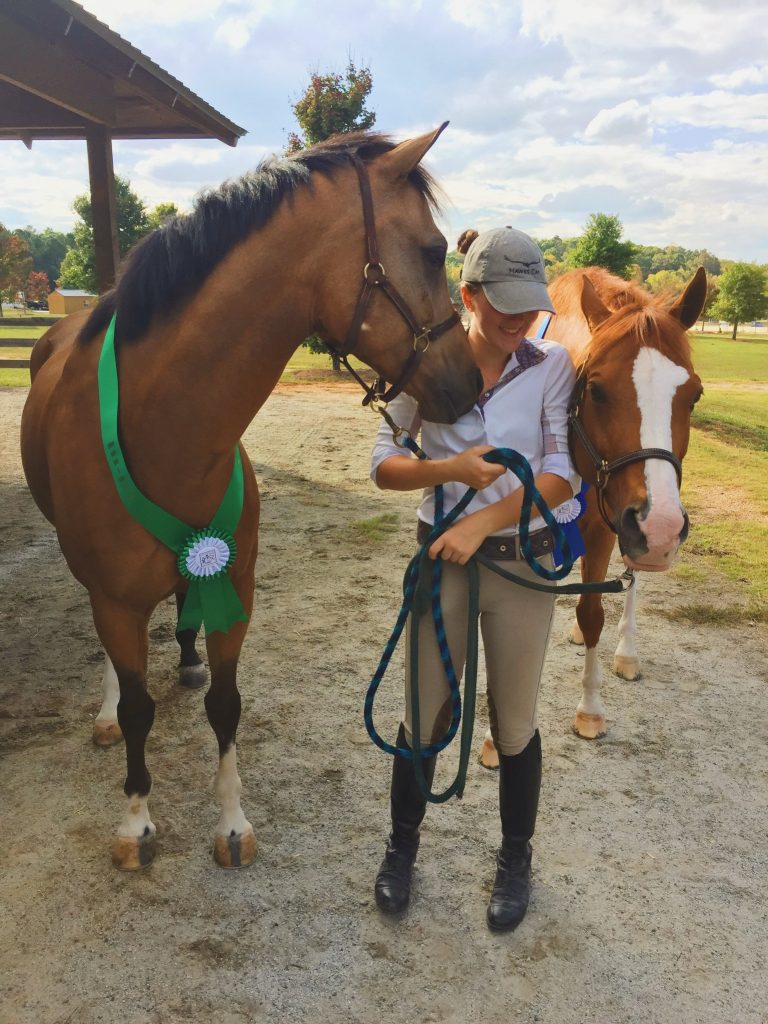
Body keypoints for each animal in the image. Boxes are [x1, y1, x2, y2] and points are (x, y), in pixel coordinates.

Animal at [19, 125, 481, 872]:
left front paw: (233, 822)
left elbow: (227, 705)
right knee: (120, 675)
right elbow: (139, 712)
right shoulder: (113, 600)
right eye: (433, 250)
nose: (471, 383)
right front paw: (135, 823)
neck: (164, 429)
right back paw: (109, 711)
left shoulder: (235, 583)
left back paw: (183, 659)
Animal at [481, 268, 708, 765]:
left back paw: (626, 652)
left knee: (630, 584)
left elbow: (592, 614)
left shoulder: (610, 529)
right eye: (598, 390)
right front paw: (493, 734)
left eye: (694, 396)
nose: (660, 528)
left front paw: (589, 709)